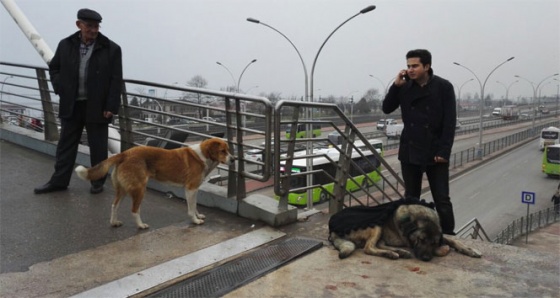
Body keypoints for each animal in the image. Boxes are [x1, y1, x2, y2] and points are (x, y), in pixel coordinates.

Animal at [74, 137, 232, 228]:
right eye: (223, 151)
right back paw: (141, 225)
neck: (203, 156)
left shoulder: (193, 190)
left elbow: (194, 206)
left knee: (114, 205)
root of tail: (124, 154)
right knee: (134, 210)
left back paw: (114, 222)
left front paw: (198, 216)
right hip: (139, 189)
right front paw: (195, 221)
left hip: (122, 189)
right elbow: (191, 208)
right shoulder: (191, 188)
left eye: (228, 150)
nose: (234, 159)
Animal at [328, 199, 482, 262]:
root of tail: (332, 231)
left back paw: (399, 252)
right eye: (421, 239)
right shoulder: (411, 242)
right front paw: (444, 249)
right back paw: (391, 254)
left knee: (379, 245)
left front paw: (471, 250)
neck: (422, 215)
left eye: (433, 242)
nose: (426, 259)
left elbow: (454, 241)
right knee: (369, 248)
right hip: (376, 225)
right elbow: (444, 248)